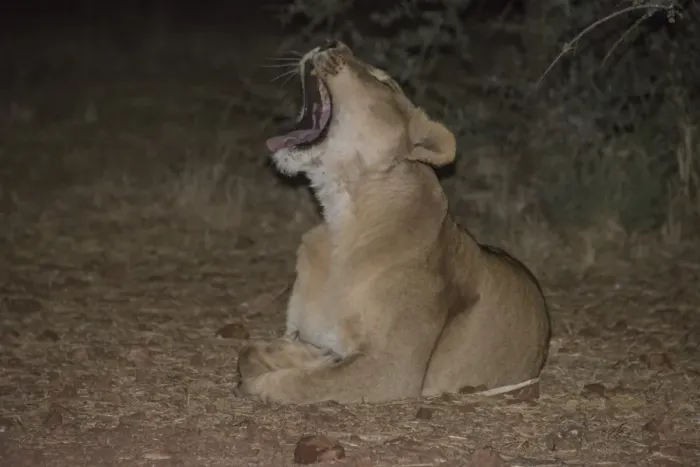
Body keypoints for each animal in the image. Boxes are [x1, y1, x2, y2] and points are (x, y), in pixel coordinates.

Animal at [235, 40, 551, 404]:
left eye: (383, 81)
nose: (332, 43)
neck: (341, 218)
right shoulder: (301, 333)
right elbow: (250, 352)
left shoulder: (393, 369)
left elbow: (305, 382)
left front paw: (273, 381)